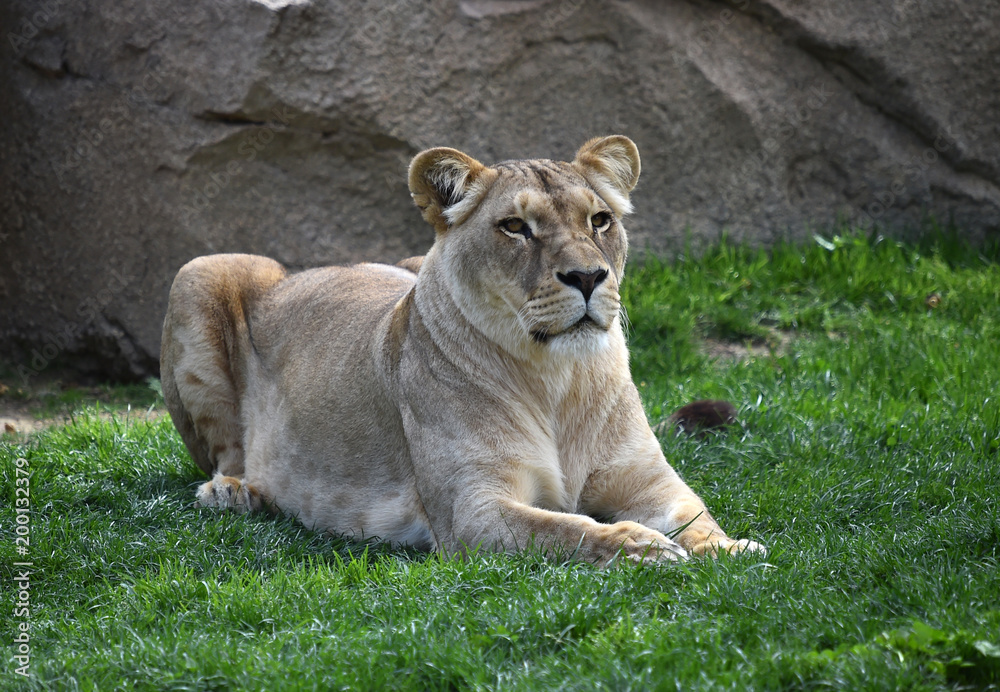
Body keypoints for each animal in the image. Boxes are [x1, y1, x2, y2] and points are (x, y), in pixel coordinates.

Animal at [160, 135, 766, 564]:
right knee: (225, 454)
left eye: (600, 220)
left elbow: (699, 516)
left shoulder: (649, 480)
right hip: (200, 270)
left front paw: (735, 550)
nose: (589, 277)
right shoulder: (472, 511)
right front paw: (642, 547)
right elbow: (567, 529)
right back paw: (233, 493)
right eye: (515, 227)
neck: (559, 378)